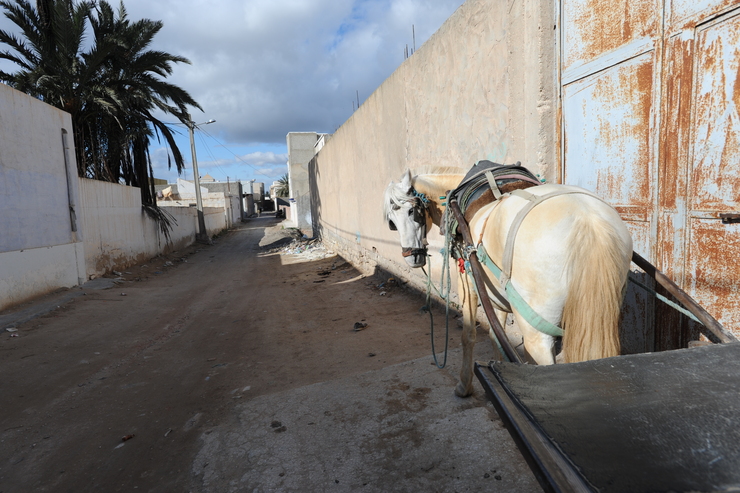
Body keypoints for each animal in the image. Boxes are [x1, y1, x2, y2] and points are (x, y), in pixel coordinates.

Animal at [384, 167, 632, 398]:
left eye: (411, 212)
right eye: (392, 222)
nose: (411, 257)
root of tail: (589, 221)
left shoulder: (468, 281)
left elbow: (469, 335)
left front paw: (465, 385)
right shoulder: (495, 293)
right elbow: (497, 335)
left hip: (536, 331)